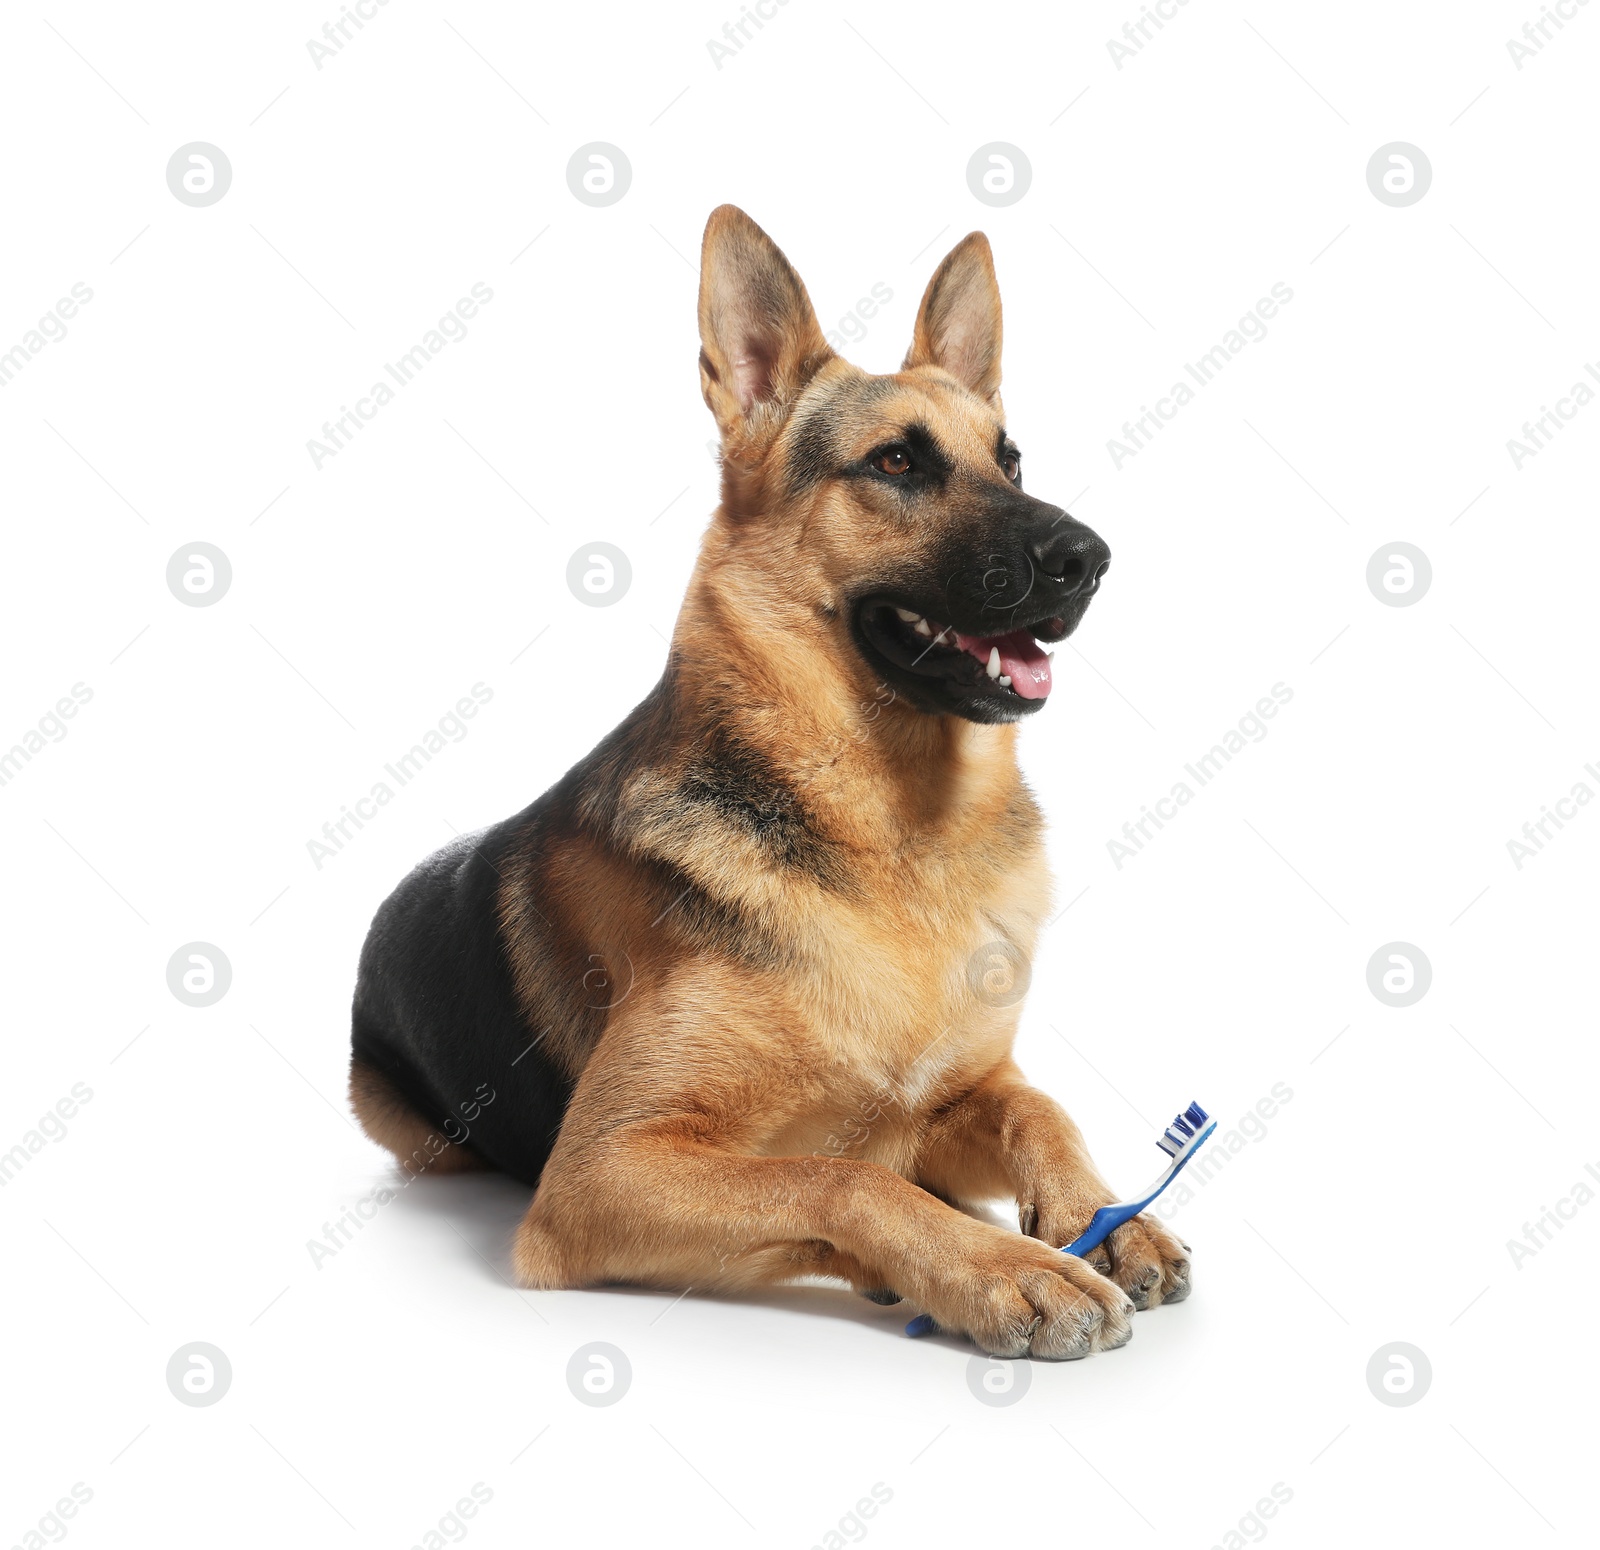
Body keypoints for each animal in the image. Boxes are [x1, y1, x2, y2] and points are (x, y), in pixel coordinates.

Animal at [353, 202, 1203, 1356]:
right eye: (896, 461)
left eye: (1013, 461)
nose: (1091, 557)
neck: (895, 845)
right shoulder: (599, 1173)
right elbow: (842, 1174)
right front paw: (997, 1264)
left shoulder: (966, 1090)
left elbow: (1038, 1107)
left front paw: (1101, 1214)